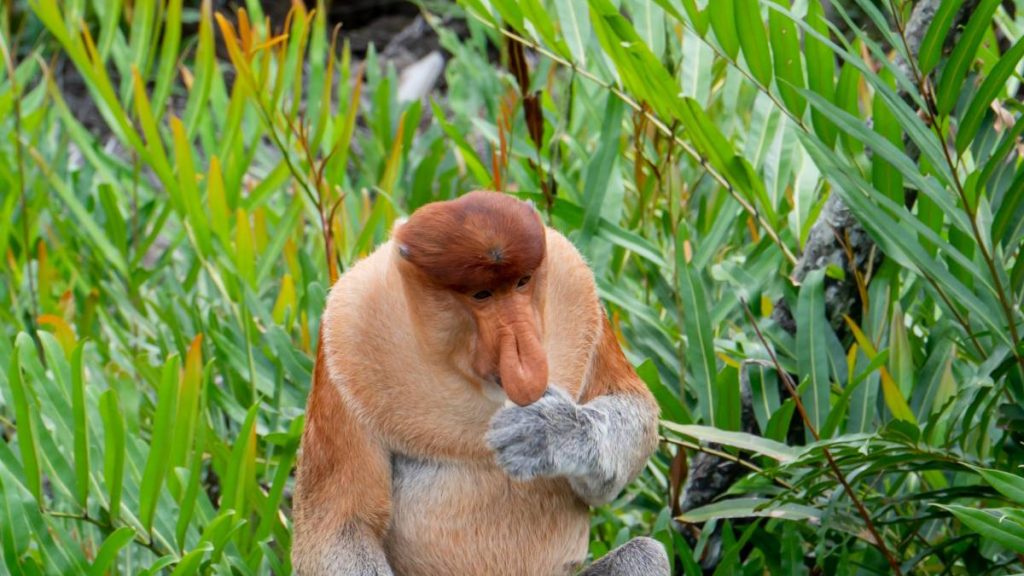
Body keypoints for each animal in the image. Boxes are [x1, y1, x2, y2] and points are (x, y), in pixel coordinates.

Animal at [292, 191, 669, 576]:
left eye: (522, 282)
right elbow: (341, 527)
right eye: (482, 295)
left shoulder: (575, 283)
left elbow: (632, 407)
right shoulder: (344, 339)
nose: (524, 358)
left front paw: (546, 432)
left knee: (645, 554)